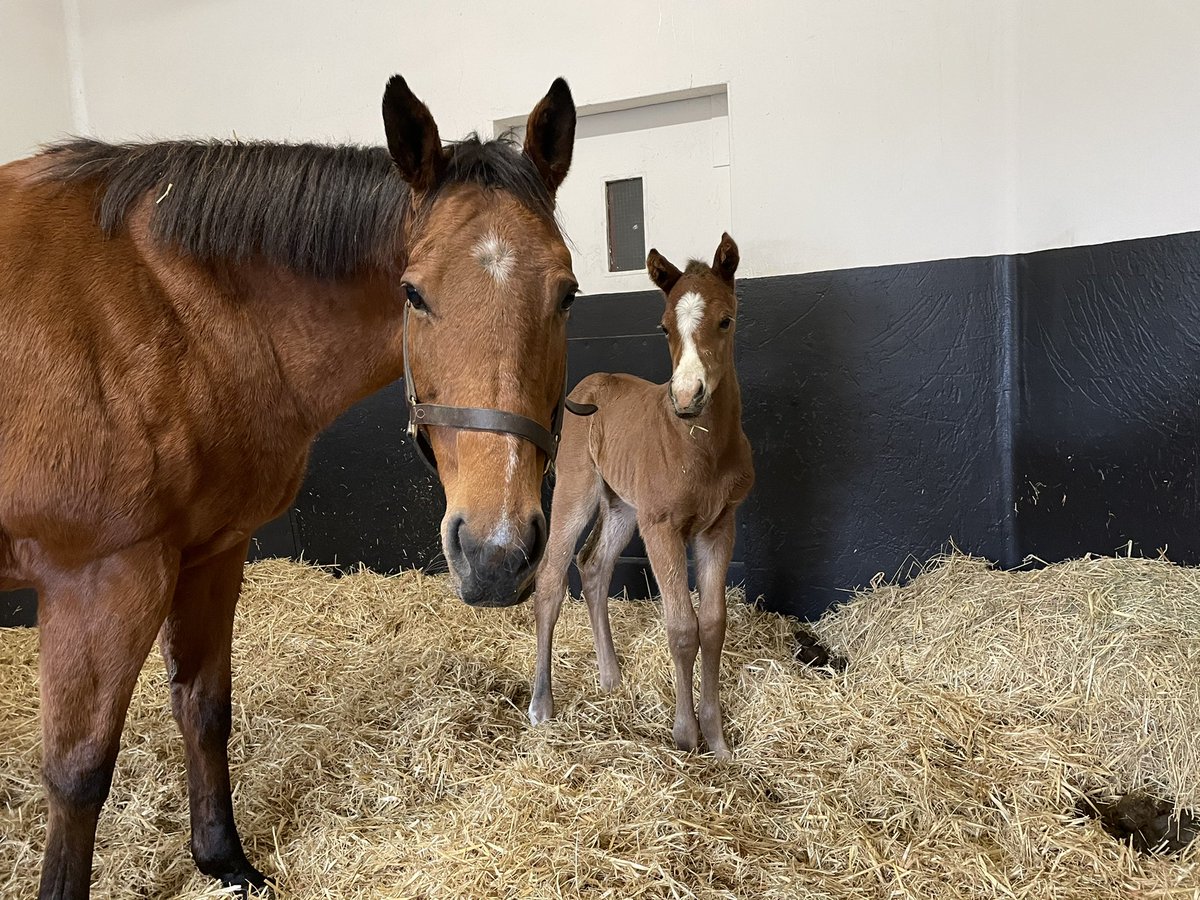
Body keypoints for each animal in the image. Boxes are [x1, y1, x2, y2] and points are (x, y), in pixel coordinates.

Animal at [0, 77, 580, 900]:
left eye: (567, 294)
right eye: (413, 292)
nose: (494, 556)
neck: (167, 312)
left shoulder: (212, 553)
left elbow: (204, 707)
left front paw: (223, 860)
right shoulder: (100, 579)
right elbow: (77, 775)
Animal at [530, 234, 753, 763]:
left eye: (726, 320)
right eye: (664, 326)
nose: (687, 396)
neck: (700, 447)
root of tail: (587, 385)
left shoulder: (720, 526)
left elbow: (713, 624)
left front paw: (718, 742)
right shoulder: (662, 526)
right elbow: (682, 627)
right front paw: (685, 736)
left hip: (623, 507)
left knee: (593, 565)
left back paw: (610, 678)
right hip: (578, 491)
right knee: (550, 578)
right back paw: (542, 704)